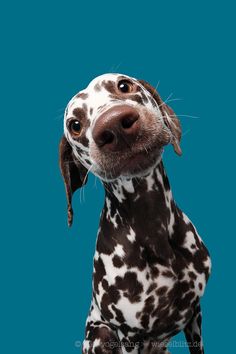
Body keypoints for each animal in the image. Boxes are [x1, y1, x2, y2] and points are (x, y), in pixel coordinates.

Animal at [59, 73, 212, 352]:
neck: (152, 223)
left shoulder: (195, 313)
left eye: (123, 85)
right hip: (100, 334)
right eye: (75, 124)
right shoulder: (129, 335)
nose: (114, 124)